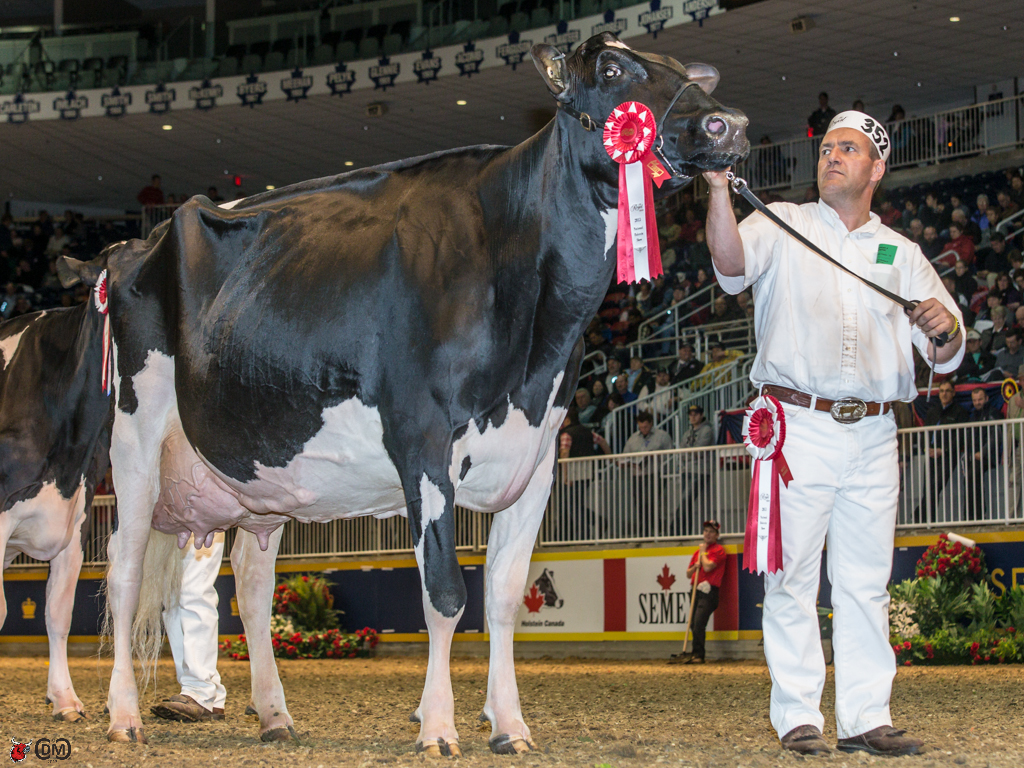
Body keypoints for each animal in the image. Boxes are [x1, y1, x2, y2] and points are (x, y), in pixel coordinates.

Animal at [64, 32, 748, 754]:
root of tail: (134, 244)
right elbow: (445, 596)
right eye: (613, 68)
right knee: (122, 572)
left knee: (249, 587)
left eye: (684, 71)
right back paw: (123, 714)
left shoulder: (538, 456)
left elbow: (504, 598)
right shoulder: (422, 441)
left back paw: (274, 714)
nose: (728, 124)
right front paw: (440, 725)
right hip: (135, 440)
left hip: (261, 480)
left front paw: (510, 726)